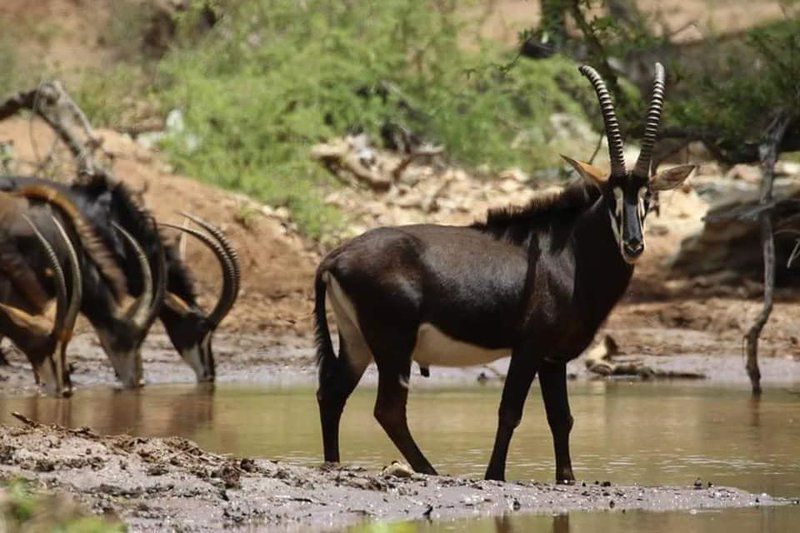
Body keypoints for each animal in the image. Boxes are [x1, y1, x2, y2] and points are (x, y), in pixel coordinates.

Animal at [316, 63, 696, 482]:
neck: (571, 250)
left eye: (648, 196)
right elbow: (510, 411)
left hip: (357, 342)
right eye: (609, 195)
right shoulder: (529, 348)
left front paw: (566, 477)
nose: (633, 245)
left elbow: (561, 419)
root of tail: (336, 257)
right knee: (388, 409)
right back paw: (429, 470)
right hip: (393, 346)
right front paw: (494, 474)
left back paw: (335, 463)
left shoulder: (553, 359)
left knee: (333, 393)